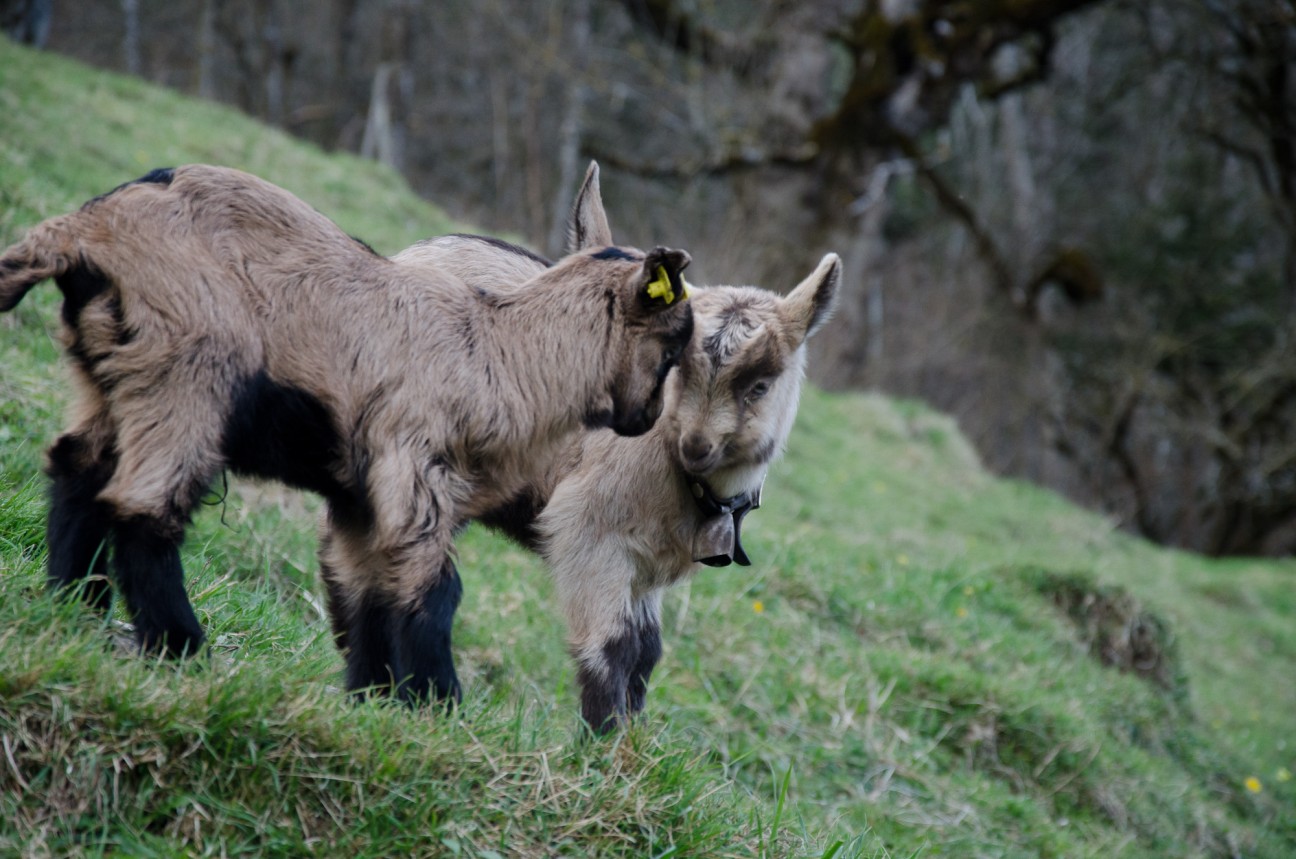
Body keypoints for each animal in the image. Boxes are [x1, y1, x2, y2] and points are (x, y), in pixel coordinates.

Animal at [393, 163, 839, 730]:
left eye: (760, 385)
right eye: (678, 365)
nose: (696, 445)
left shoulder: (648, 572)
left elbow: (646, 654)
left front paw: (630, 737)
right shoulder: (589, 533)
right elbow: (612, 649)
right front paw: (603, 744)